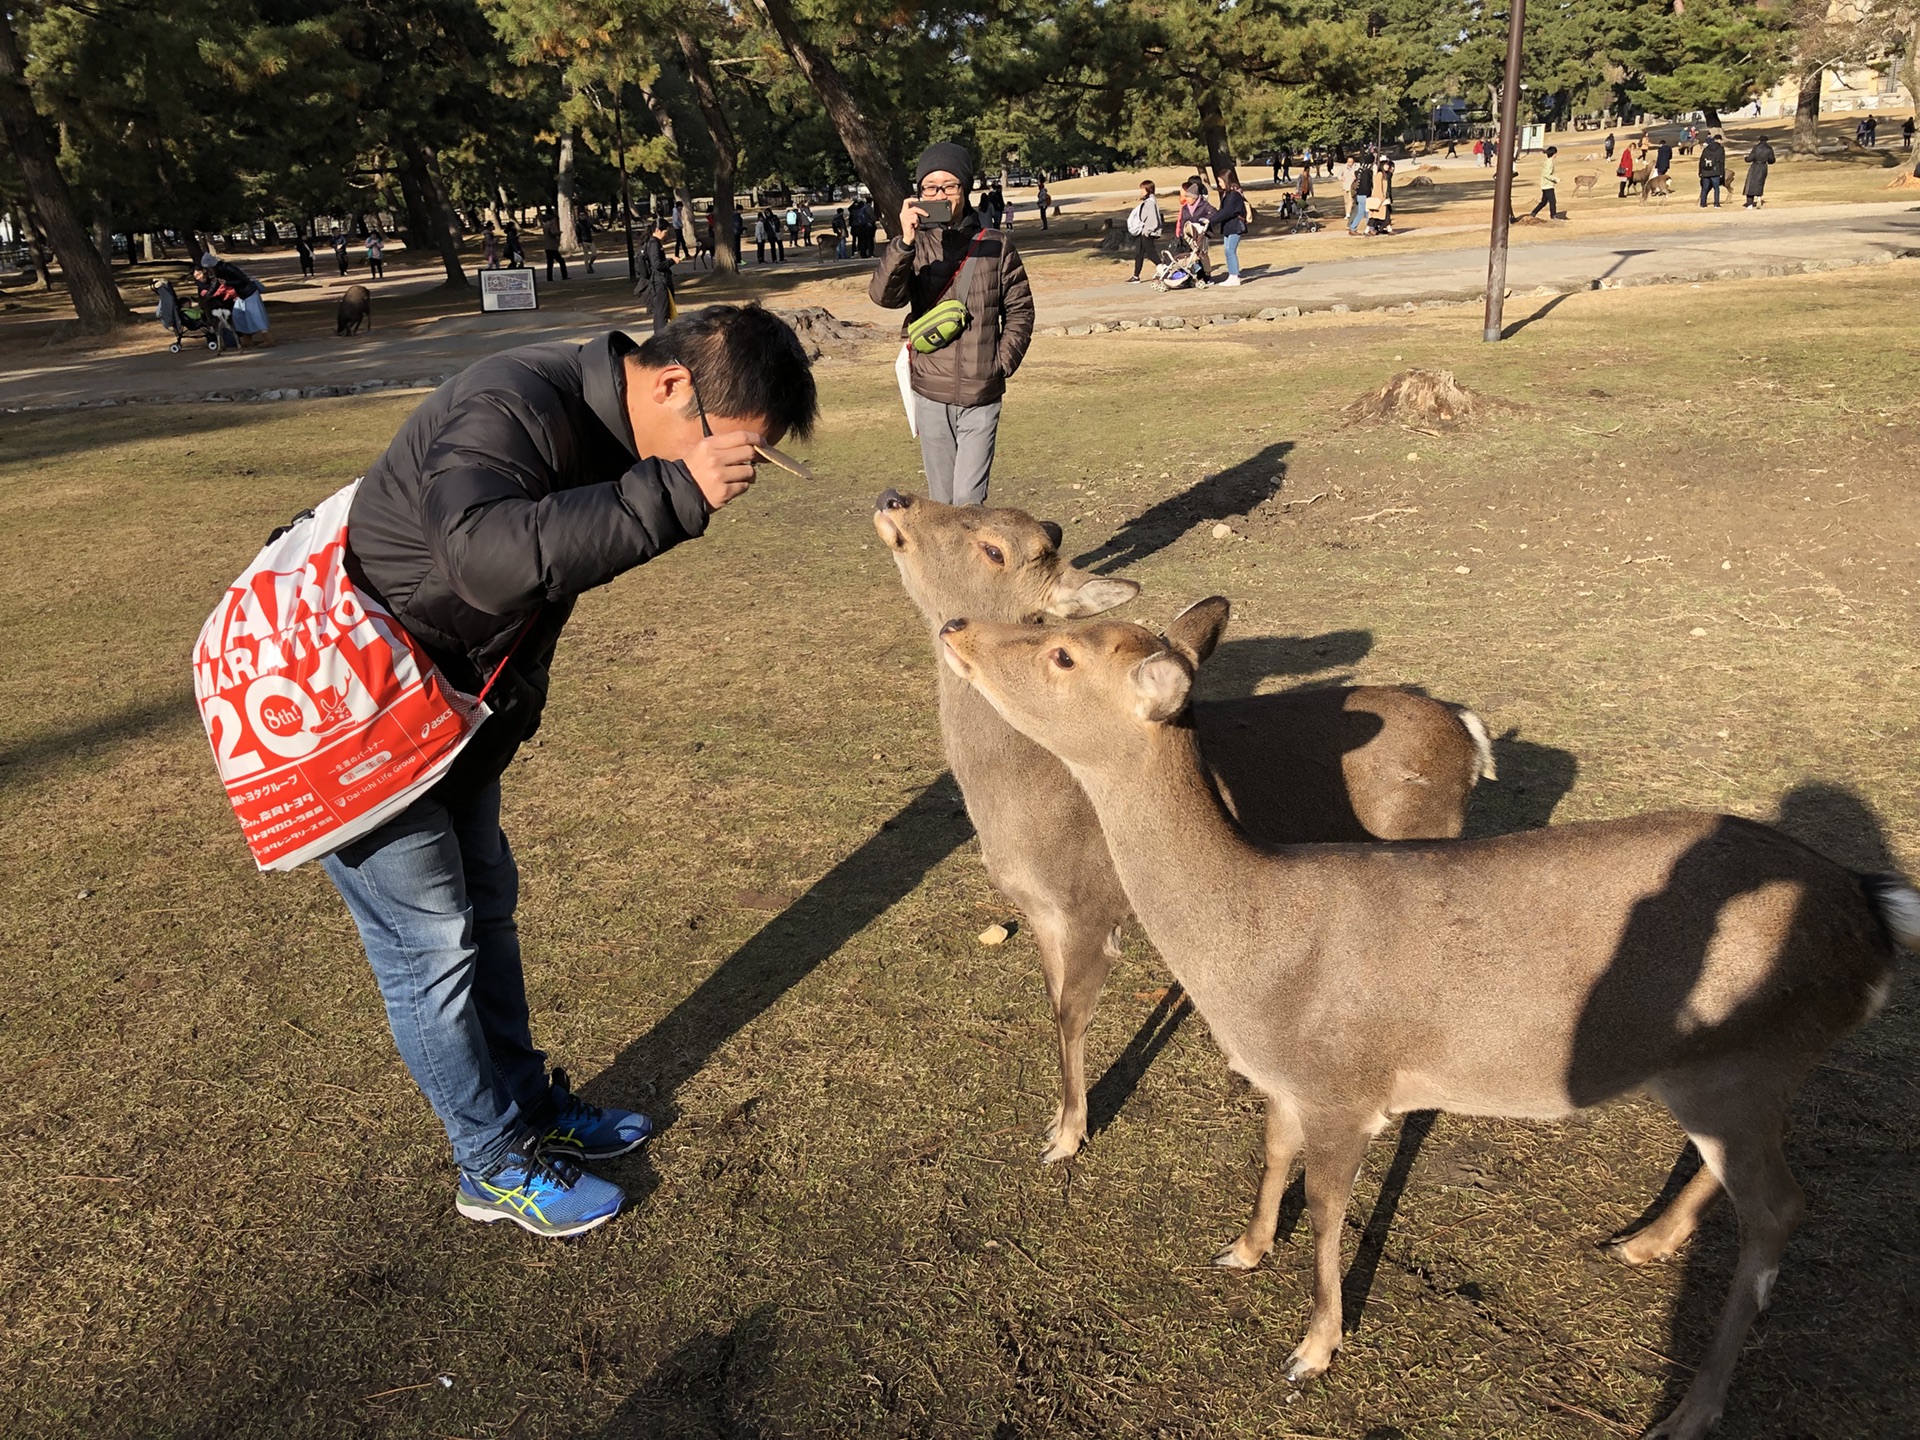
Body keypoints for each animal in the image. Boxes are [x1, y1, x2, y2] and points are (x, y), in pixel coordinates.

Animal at [936, 591, 1912, 1436]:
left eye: (1063, 653)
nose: (955, 626)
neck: (1249, 961)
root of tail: (1872, 923)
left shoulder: (1346, 1085)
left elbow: (1328, 1208)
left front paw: (1313, 1350)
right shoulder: (1286, 1078)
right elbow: (1273, 1152)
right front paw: (1242, 1249)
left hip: (1749, 1065)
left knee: (1781, 1208)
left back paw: (1691, 1410)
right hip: (1730, 1073)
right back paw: (1640, 1244)